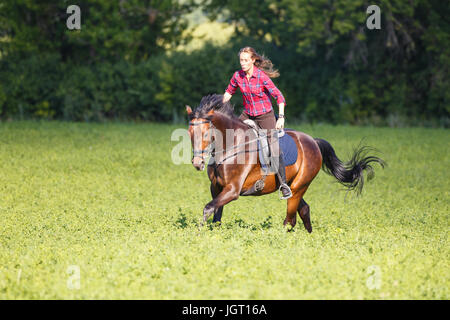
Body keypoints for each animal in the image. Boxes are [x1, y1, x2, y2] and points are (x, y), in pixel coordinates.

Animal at [185, 94, 384, 231]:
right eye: (189, 133)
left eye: (205, 133)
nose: (197, 163)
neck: (231, 146)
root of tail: (313, 141)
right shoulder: (216, 187)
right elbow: (216, 215)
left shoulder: (232, 190)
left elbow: (208, 208)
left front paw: (198, 233)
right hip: (294, 185)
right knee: (304, 210)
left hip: (299, 185)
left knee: (290, 219)